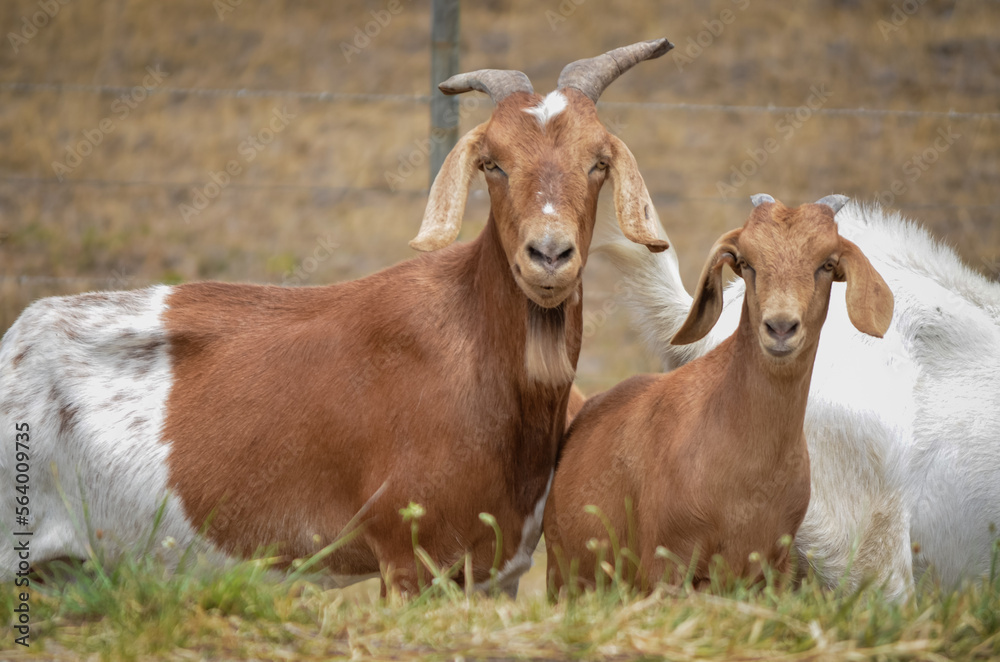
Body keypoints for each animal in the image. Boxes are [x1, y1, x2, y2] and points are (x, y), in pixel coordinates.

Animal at [0, 40, 676, 596]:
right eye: (493, 163)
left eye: (597, 163)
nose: (549, 254)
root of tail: (17, 342)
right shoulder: (411, 559)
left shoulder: (497, 571)